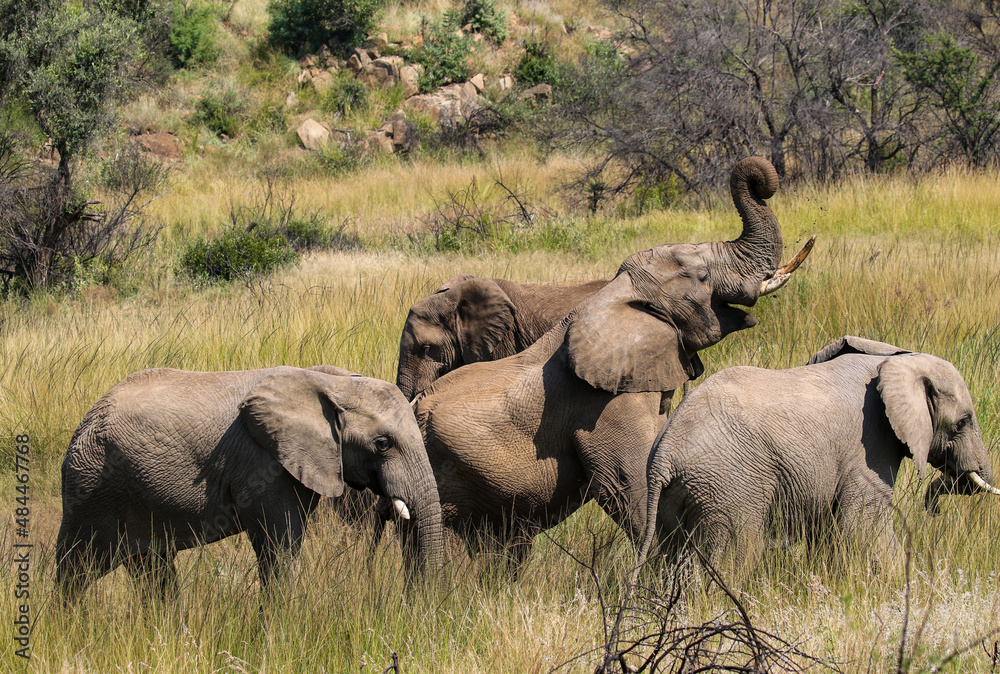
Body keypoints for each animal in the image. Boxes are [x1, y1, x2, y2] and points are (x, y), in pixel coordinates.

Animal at [56, 365, 444, 599]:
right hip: (92, 486)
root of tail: (86, 419)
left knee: (154, 571)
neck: (330, 381)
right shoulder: (264, 466)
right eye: (383, 443)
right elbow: (279, 547)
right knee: (75, 570)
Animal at [635, 336, 1000, 575]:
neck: (897, 358)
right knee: (733, 556)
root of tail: (663, 455)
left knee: (672, 556)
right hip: (729, 488)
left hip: (680, 497)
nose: (934, 507)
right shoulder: (868, 447)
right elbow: (862, 525)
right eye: (962, 423)